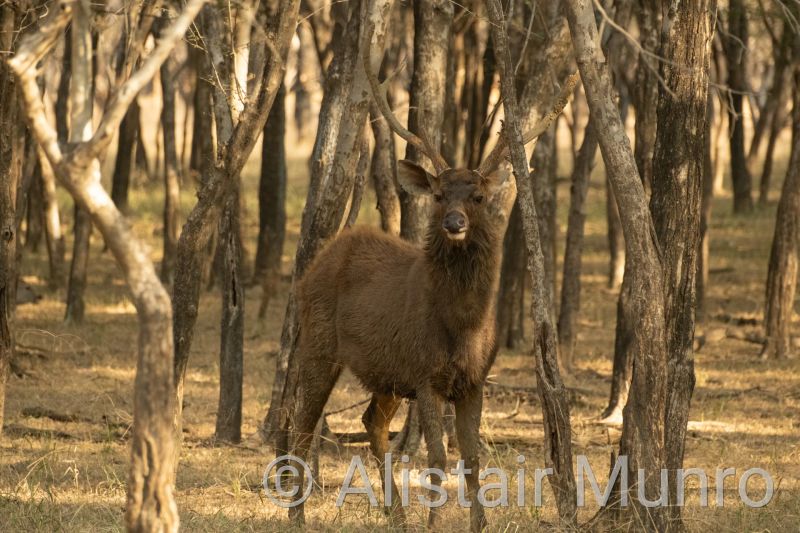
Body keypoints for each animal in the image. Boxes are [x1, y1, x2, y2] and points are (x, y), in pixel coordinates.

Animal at [282, 22, 575, 532]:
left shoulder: (474, 379)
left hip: (383, 371)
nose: (454, 222)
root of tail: (317, 262)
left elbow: (473, 460)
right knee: (303, 424)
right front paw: (437, 521)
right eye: (439, 195)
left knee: (371, 422)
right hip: (319, 343)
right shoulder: (424, 374)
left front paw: (478, 524)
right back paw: (299, 517)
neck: (462, 328)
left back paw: (395, 515)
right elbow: (437, 459)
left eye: (478, 196)